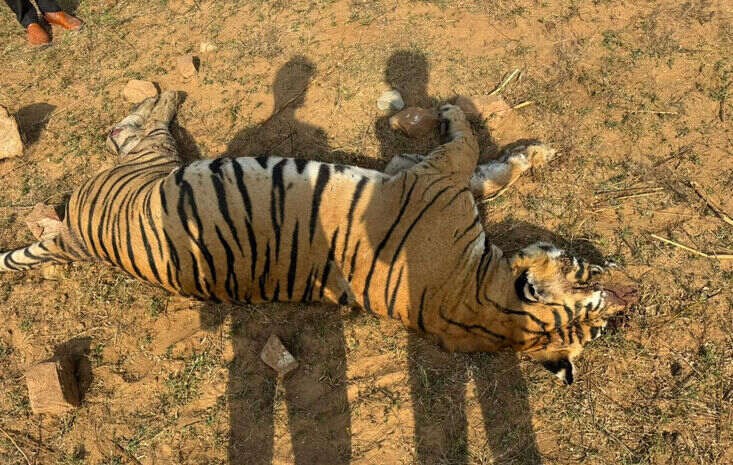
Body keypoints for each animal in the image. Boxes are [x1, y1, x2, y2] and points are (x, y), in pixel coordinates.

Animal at [0, 91, 637, 384]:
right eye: (598, 301)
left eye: (600, 327)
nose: (635, 297)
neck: (481, 298)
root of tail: (75, 239)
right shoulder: (434, 172)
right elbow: (476, 151)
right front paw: (515, 143)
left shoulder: (426, 173)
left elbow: (476, 158)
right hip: (151, 160)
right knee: (133, 123)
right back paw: (169, 93)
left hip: (150, 163)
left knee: (128, 128)